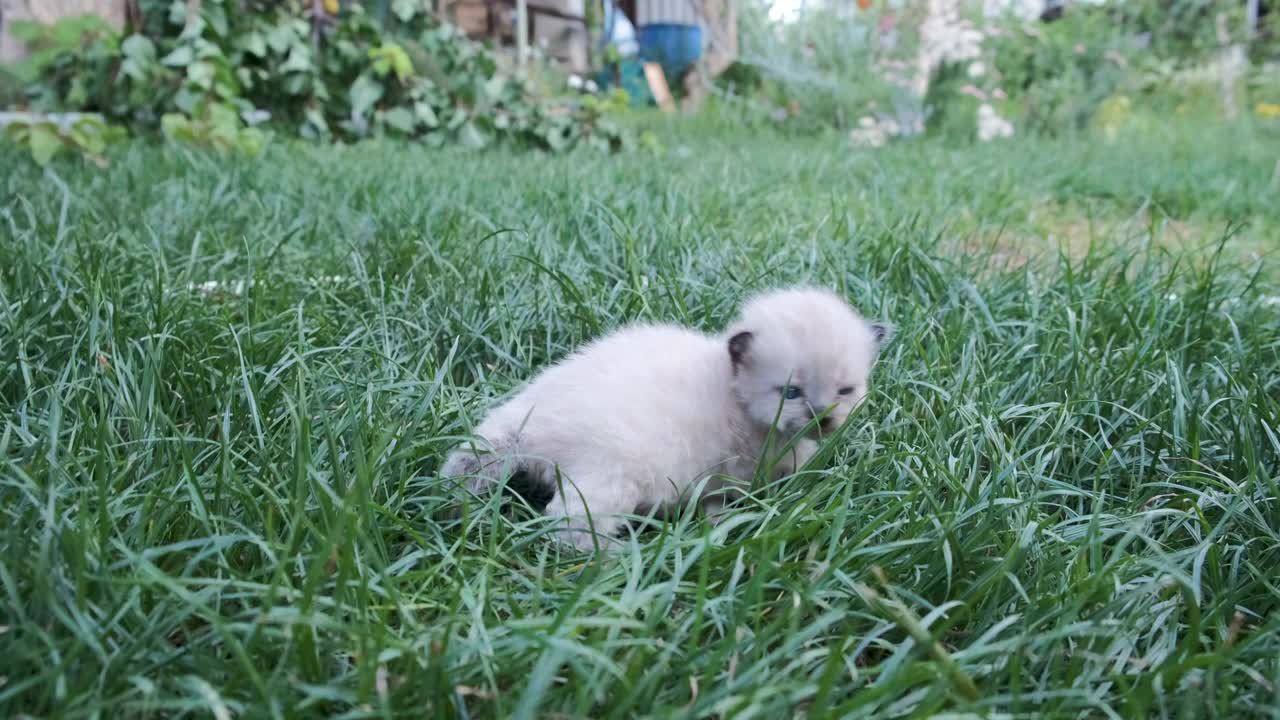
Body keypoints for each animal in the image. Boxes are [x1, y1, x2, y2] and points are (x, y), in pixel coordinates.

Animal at [440, 285, 890, 548]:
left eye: (845, 391)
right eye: (791, 393)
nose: (824, 419)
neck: (733, 395)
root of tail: (526, 422)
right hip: (614, 475)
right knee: (567, 527)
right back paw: (618, 556)